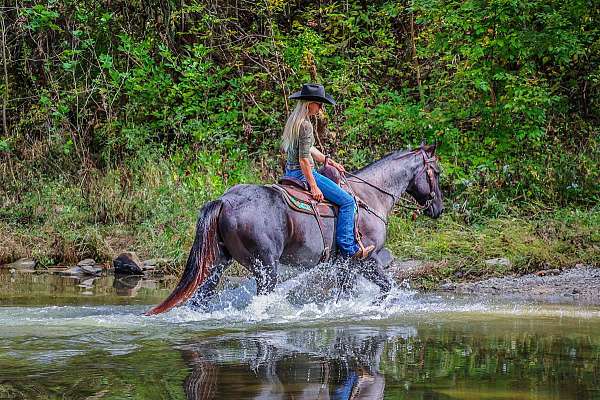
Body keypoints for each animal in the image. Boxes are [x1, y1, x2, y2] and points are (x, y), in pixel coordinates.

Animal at [147, 145, 442, 316]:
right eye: (436, 172)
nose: (438, 209)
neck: (369, 196)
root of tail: (225, 200)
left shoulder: (346, 265)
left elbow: (345, 294)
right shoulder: (365, 259)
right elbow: (386, 287)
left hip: (217, 264)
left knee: (201, 299)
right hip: (266, 268)